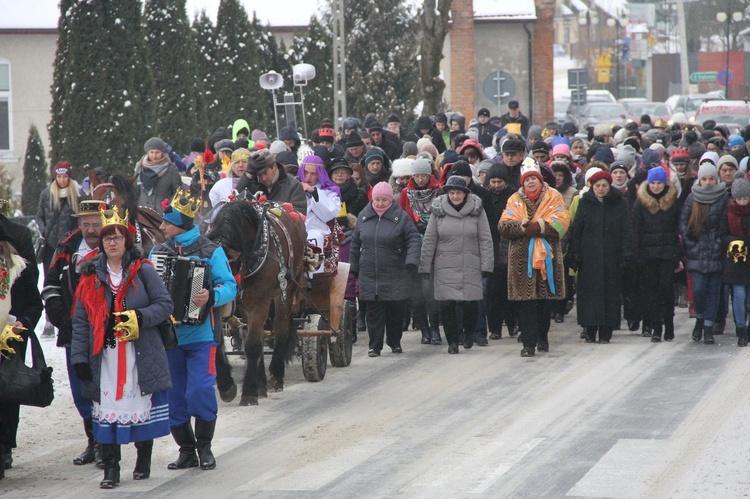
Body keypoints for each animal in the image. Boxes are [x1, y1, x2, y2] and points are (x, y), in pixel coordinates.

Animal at [207, 199, 306, 406]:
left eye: (228, 266)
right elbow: (217, 342)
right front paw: (227, 386)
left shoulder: (260, 300)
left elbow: (252, 345)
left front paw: (249, 392)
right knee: (260, 336)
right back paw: (261, 383)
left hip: (285, 291)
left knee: (280, 329)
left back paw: (275, 377)